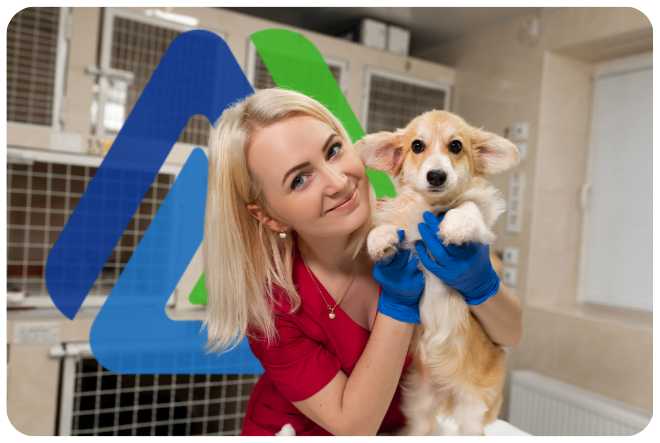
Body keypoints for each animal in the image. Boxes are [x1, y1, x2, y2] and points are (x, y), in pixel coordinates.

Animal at [354, 110, 520, 438]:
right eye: (417, 146)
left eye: (456, 146)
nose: (436, 176)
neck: (429, 209)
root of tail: (447, 391)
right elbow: (389, 227)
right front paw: (380, 239)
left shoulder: (481, 226)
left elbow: (468, 206)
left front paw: (456, 224)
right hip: (419, 399)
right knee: (420, 426)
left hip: (474, 406)